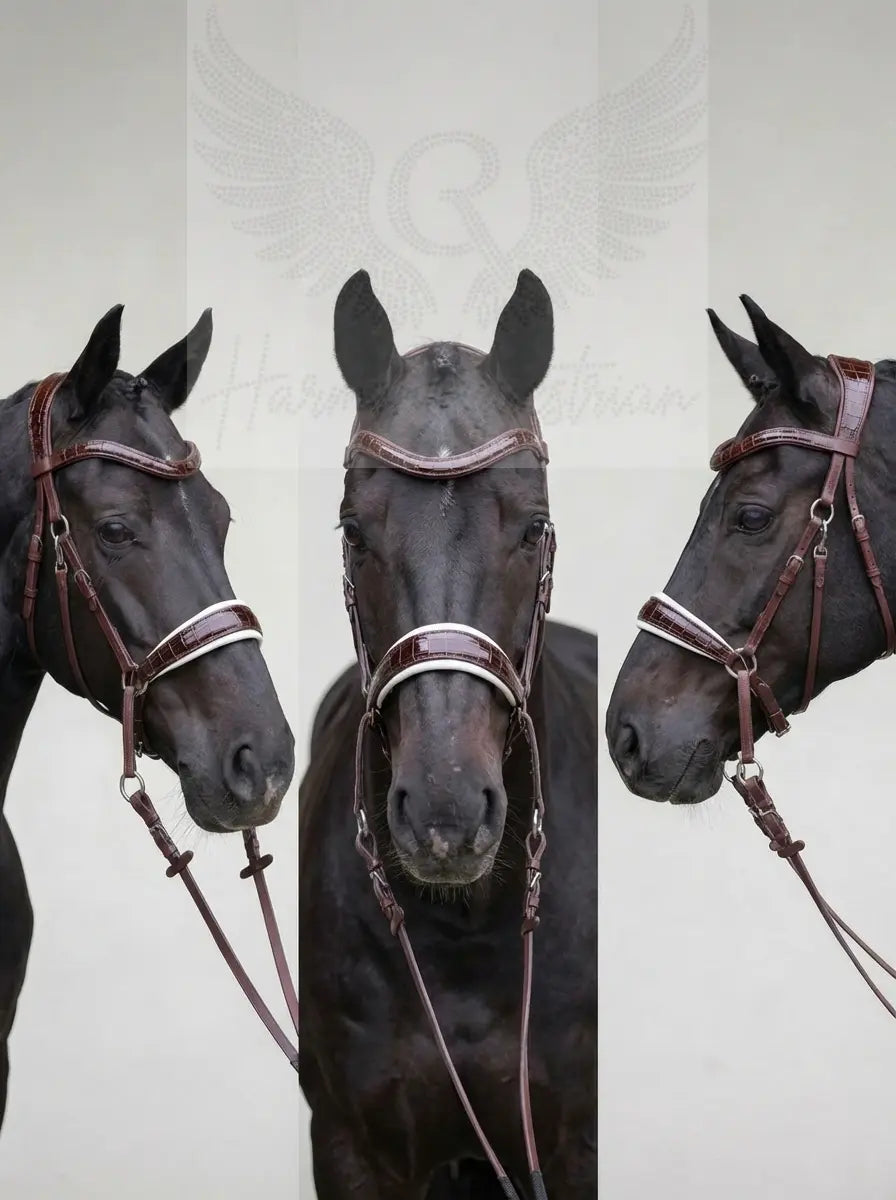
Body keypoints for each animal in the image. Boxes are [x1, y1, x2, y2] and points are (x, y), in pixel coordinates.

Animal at [298, 269, 597, 1198]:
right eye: (353, 529)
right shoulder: (353, 1148)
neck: (466, 927)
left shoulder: (573, 1145)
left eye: (533, 526)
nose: (445, 813)